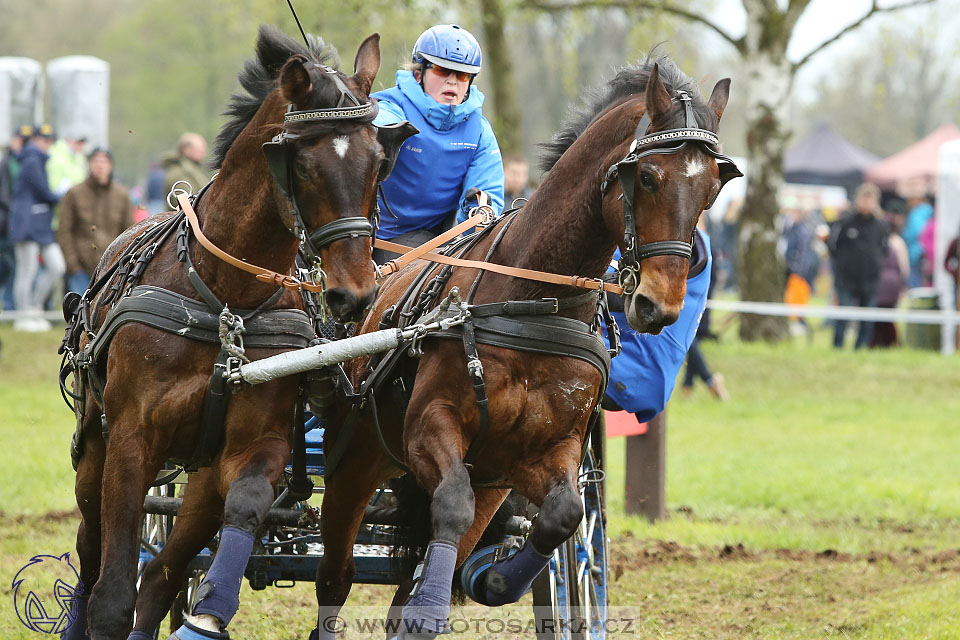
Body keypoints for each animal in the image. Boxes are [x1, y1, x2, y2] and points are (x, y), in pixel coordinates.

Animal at [59, 26, 412, 640]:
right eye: (304, 165)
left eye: (377, 163)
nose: (356, 294)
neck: (225, 296)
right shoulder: (131, 440)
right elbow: (112, 591)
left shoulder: (256, 441)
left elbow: (246, 501)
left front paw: (208, 614)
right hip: (94, 449)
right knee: (91, 548)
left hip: (201, 475)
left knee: (163, 574)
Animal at [312, 57, 740, 636]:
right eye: (648, 177)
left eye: (712, 188)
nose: (662, 305)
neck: (534, 303)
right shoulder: (430, 424)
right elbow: (451, 502)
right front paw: (435, 605)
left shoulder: (545, 451)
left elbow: (564, 517)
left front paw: (493, 579)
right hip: (354, 463)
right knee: (335, 575)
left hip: (488, 482)